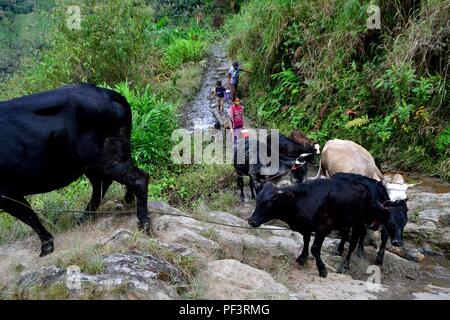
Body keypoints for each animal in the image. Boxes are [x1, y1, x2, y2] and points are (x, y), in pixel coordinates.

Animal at [0, 84, 151, 256]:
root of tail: (111, 93)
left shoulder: (6, 194)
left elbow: (29, 216)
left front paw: (46, 245)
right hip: (94, 163)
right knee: (104, 184)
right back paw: (89, 215)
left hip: (105, 159)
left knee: (138, 178)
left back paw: (144, 223)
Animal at [248, 175, 410, 278]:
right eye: (258, 201)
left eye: (267, 204)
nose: (251, 221)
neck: (302, 200)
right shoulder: (306, 227)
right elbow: (306, 242)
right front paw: (302, 258)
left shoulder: (322, 228)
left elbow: (314, 249)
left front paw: (322, 270)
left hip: (357, 223)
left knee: (353, 244)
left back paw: (345, 265)